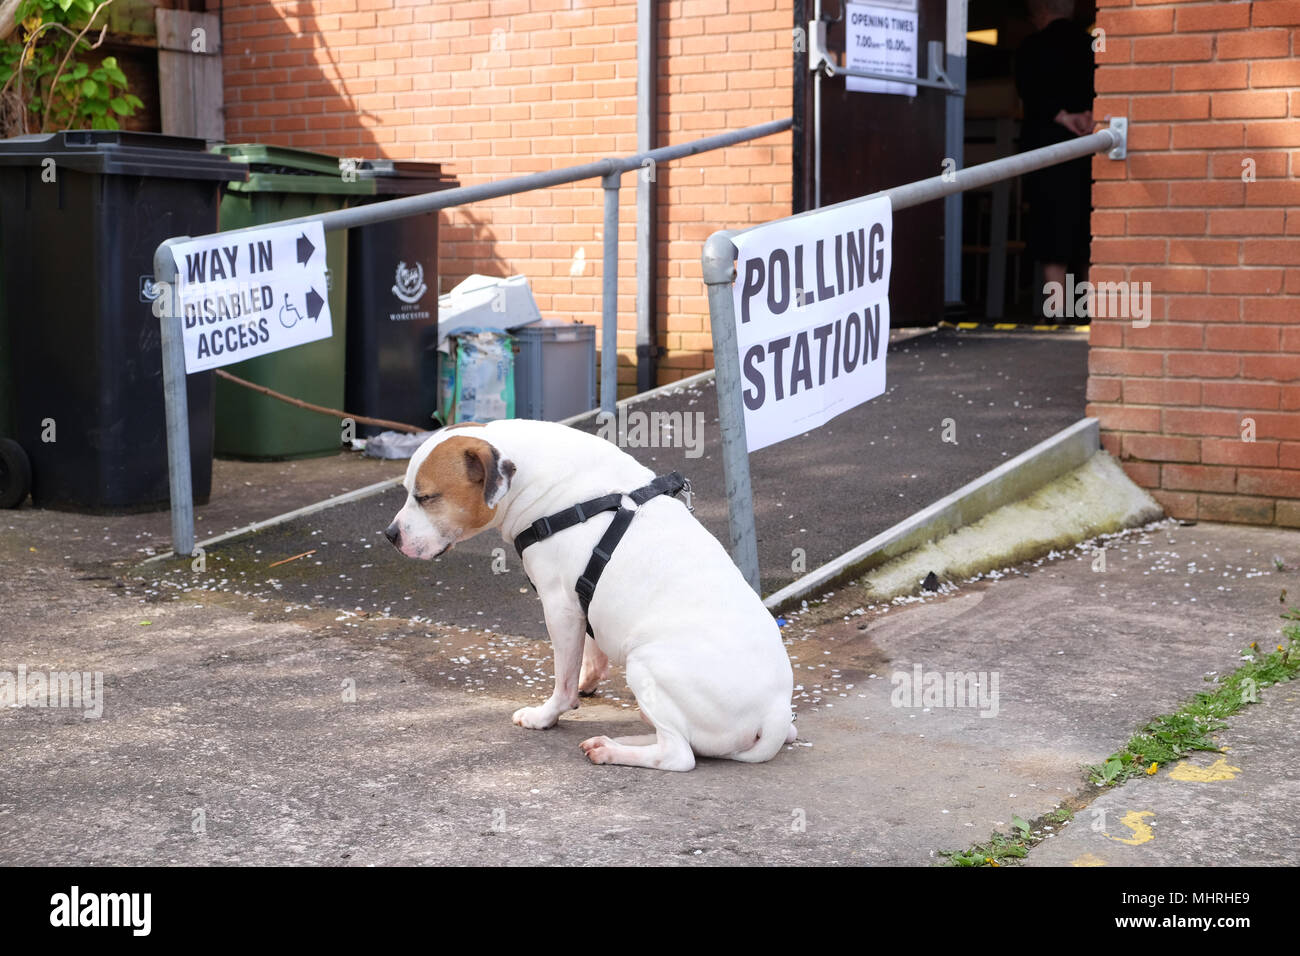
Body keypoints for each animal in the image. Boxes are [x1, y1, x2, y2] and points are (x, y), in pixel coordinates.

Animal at [379, 418, 795, 770]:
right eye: (408, 492)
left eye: (427, 497)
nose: (390, 534)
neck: (538, 477)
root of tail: (775, 712)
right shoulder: (584, 600)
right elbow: (589, 655)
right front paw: (587, 681)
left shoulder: (560, 608)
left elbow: (562, 682)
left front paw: (546, 716)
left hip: (647, 662)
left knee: (679, 753)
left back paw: (612, 750)